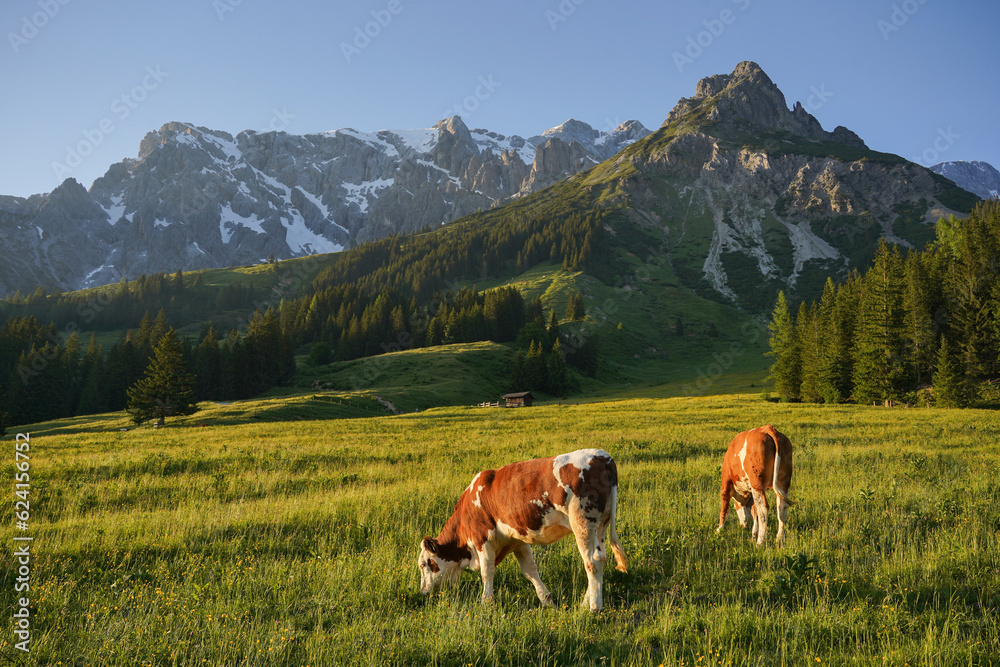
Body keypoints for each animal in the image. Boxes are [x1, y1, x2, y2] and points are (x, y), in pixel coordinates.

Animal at [420, 448, 624, 612]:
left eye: (424, 564)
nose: (422, 592)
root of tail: (602, 456)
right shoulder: (518, 541)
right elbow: (530, 571)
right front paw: (547, 601)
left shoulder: (482, 539)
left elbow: (487, 572)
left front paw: (486, 603)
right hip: (600, 526)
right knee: (601, 557)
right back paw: (584, 603)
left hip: (583, 524)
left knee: (592, 561)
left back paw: (594, 608)